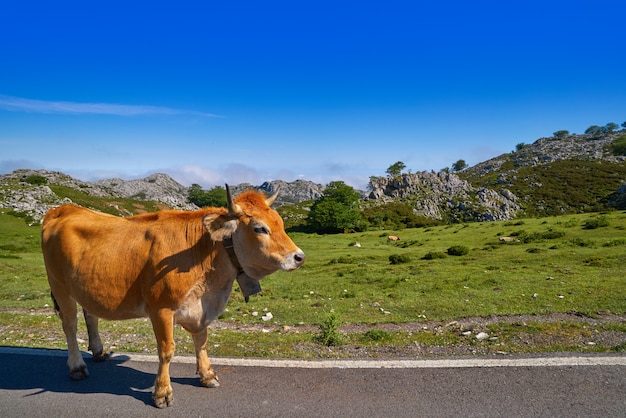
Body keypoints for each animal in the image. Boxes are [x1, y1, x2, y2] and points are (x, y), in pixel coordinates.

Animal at [40, 186, 304, 408]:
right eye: (259, 228)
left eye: (280, 222)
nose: (299, 256)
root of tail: (63, 209)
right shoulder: (161, 309)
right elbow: (167, 350)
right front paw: (162, 393)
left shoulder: (200, 308)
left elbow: (202, 341)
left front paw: (207, 375)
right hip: (59, 285)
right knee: (70, 325)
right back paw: (77, 366)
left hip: (86, 286)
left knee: (90, 315)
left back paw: (98, 351)